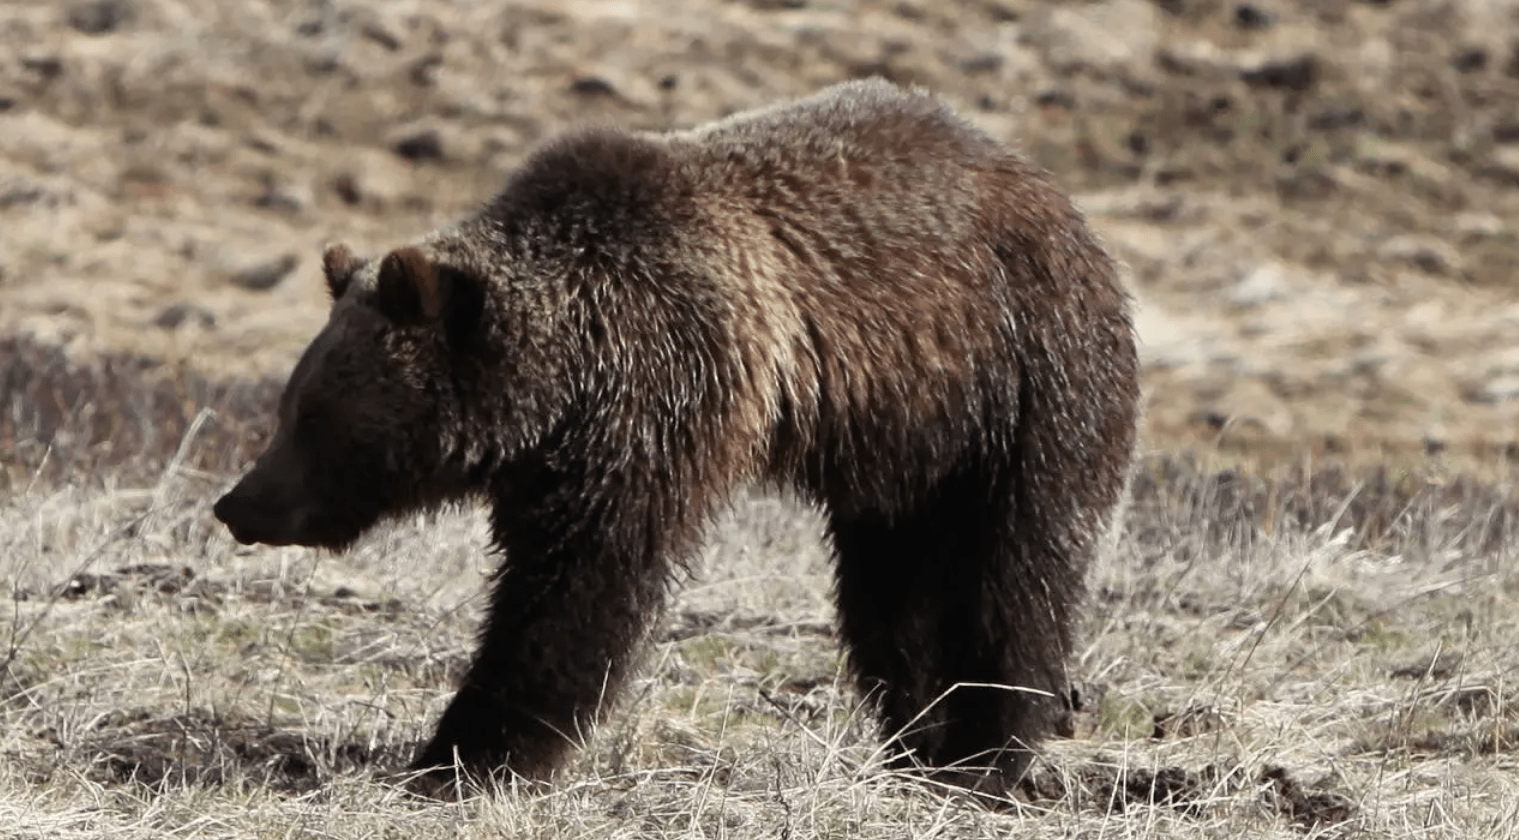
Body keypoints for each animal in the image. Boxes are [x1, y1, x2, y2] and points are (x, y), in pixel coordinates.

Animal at [214, 80, 1142, 802]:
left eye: (311, 416)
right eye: (290, 403)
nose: (236, 503)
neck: (561, 382)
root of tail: (1051, 192)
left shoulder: (662, 393)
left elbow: (580, 587)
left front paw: (465, 756)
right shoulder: (555, 454)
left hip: (1027, 375)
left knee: (1016, 566)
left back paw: (987, 755)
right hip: (905, 441)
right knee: (892, 591)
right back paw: (918, 740)